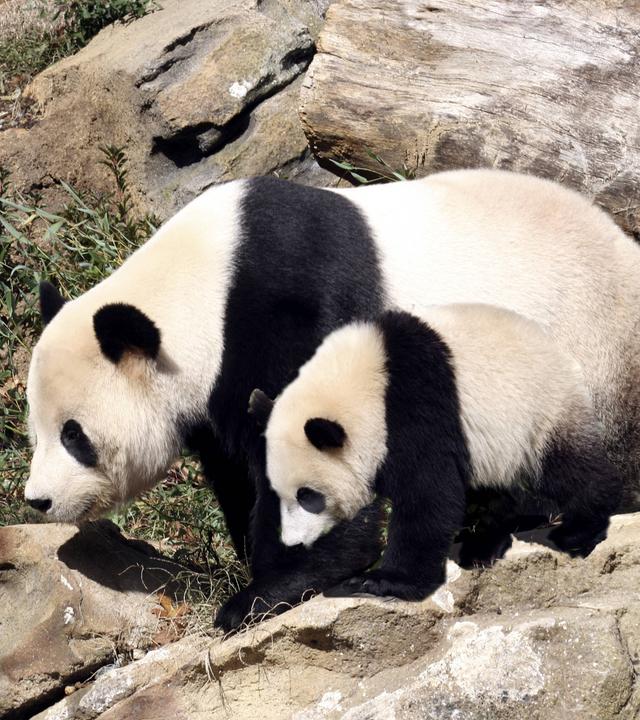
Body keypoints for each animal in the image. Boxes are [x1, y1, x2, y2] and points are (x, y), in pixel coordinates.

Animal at [249, 306, 623, 600]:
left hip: (541, 412)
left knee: (568, 468)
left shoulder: (415, 405)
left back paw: (578, 530)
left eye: (309, 496)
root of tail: (565, 356)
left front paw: (384, 580)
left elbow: (428, 494)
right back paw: (483, 543)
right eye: (280, 495)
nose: (294, 543)